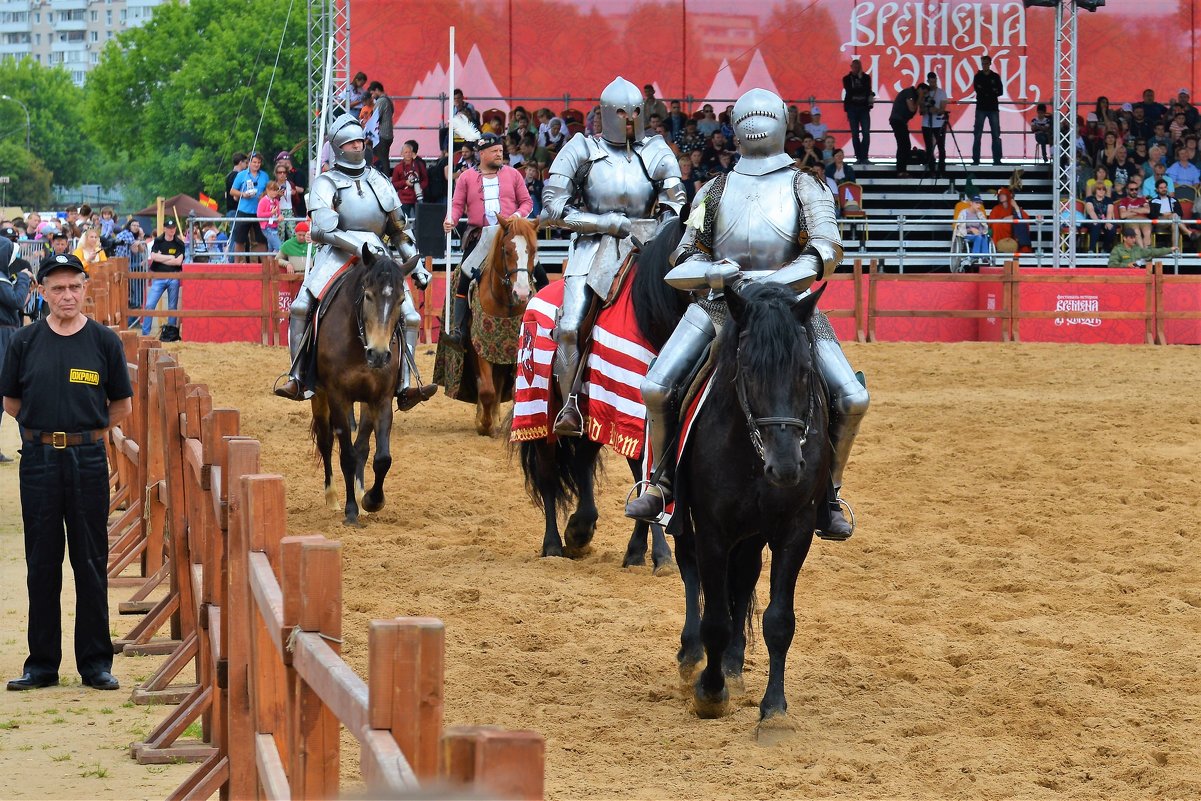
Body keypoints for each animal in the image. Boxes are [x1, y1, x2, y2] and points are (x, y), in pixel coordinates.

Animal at [312, 247, 420, 528]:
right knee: (326, 442)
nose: (379, 355)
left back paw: (361, 496)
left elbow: (381, 458)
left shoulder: (380, 400)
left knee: (362, 446)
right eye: (369, 296)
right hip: (320, 397)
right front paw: (350, 511)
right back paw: (333, 498)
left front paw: (372, 500)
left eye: (401, 300)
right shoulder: (338, 398)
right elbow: (346, 456)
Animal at [463, 216, 535, 434]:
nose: (522, 293)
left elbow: (512, 388)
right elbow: (486, 390)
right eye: (507, 250)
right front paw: (484, 424)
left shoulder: (514, 350)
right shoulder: (481, 346)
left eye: (532, 250)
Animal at [511, 216, 691, 574]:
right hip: (538, 408)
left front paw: (637, 552)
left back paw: (581, 528)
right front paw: (661, 555)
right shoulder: (630, 411)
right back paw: (554, 543)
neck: (651, 316)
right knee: (549, 473)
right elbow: (644, 473)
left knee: (582, 459)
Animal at [672, 278, 831, 730]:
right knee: (691, 569)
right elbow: (715, 620)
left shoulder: (795, 530)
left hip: (753, 535)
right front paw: (709, 693)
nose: (786, 466)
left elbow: (778, 621)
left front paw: (774, 709)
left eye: (805, 369)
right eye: (749, 370)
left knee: (743, 580)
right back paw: (693, 659)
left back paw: (732, 666)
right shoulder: (711, 529)